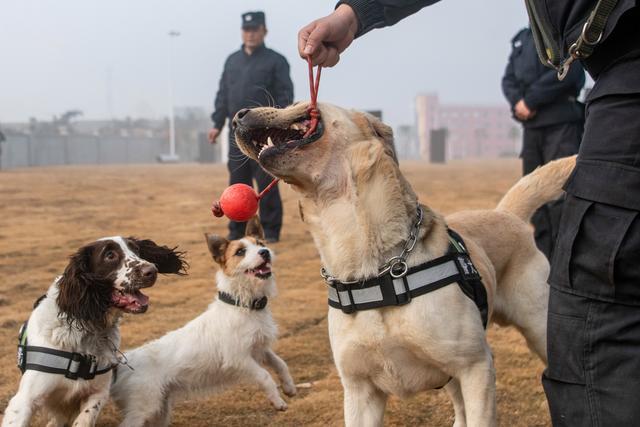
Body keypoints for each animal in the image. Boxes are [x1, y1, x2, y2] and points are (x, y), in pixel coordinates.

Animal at [230, 103, 576, 427]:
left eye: (298, 104)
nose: (237, 116)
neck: (373, 272)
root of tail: (506, 214)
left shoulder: (475, 367)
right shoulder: (359, 391)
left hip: (540, 331)